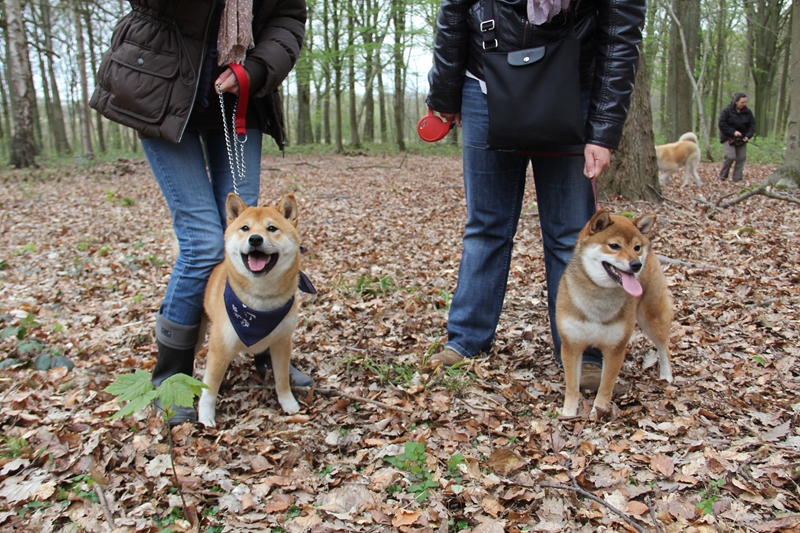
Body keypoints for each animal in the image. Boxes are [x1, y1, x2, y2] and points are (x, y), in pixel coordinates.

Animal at [556, 208, 676, 420]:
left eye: (636, 247)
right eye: (614, 246)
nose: (636, 264)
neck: (599, 297)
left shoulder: (615, 349)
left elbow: (605, 386)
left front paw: (598, 412)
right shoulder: (571, 345)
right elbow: (572, 385)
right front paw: (569, 414)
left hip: (652, 318)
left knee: (664, 348)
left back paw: (666, 376)